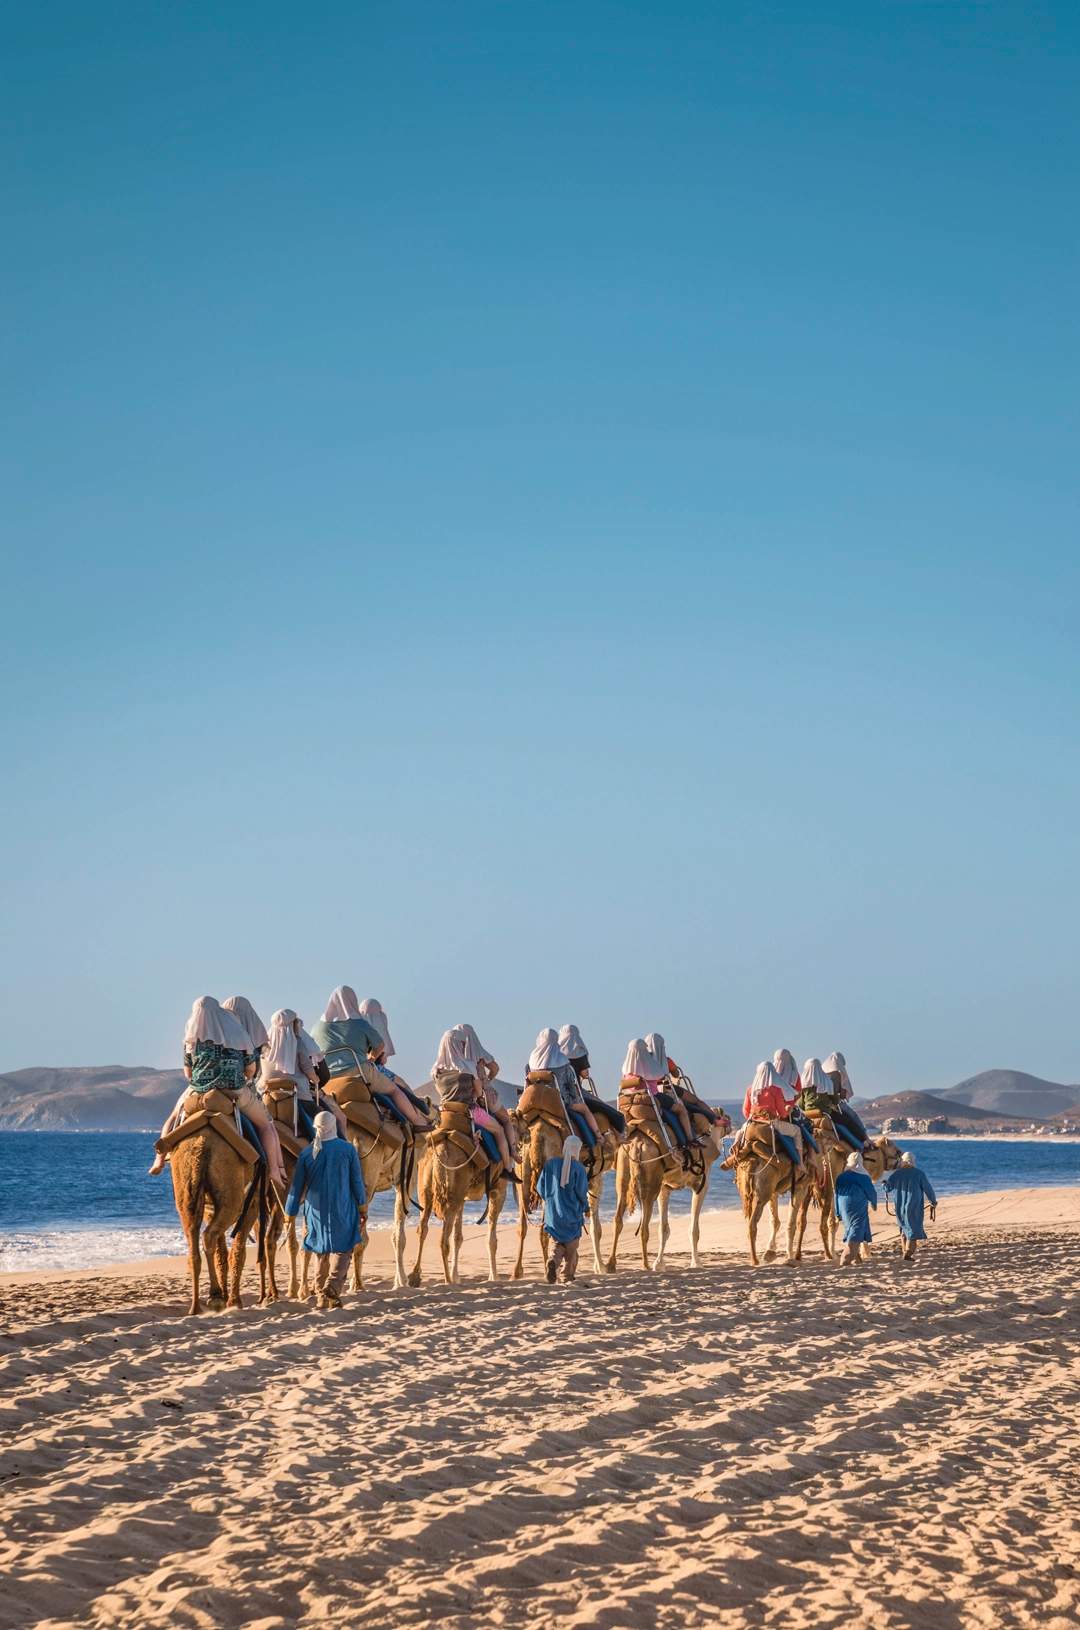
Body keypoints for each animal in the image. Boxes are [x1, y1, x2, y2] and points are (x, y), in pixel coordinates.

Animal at [407, 1102, 507, 1284]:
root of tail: (440, 1153)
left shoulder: (463, 1197)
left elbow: (458, 1237)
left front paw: (457, 1276)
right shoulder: (498, 1190)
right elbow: (491, 1239)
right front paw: (494, 1277)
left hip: (427, 1188)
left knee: (423, 1228)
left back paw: (416, 1276)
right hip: (451, 1194)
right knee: (442, 1239)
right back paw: (447, 1280)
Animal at [511, 1076, 623, 1279]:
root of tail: (538, 1134)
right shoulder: (595, 1178)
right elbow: (595, 1226)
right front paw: (600, 1267)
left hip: (522, 1173)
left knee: (524, 1226)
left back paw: (519, 1271)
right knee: (546, 1228)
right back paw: (548, 1269)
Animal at [604, 1094, 720, 1273]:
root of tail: (637, 1144)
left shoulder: (665, 1187)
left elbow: (663, 1228)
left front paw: (659, 1264)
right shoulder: (702, 1184)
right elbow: (693, 1229)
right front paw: (696, 1263)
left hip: (624, 1170)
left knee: (618, 1216)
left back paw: (611, 1264)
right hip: (651, 1180)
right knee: (644, 1223)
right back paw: (644, 1264)